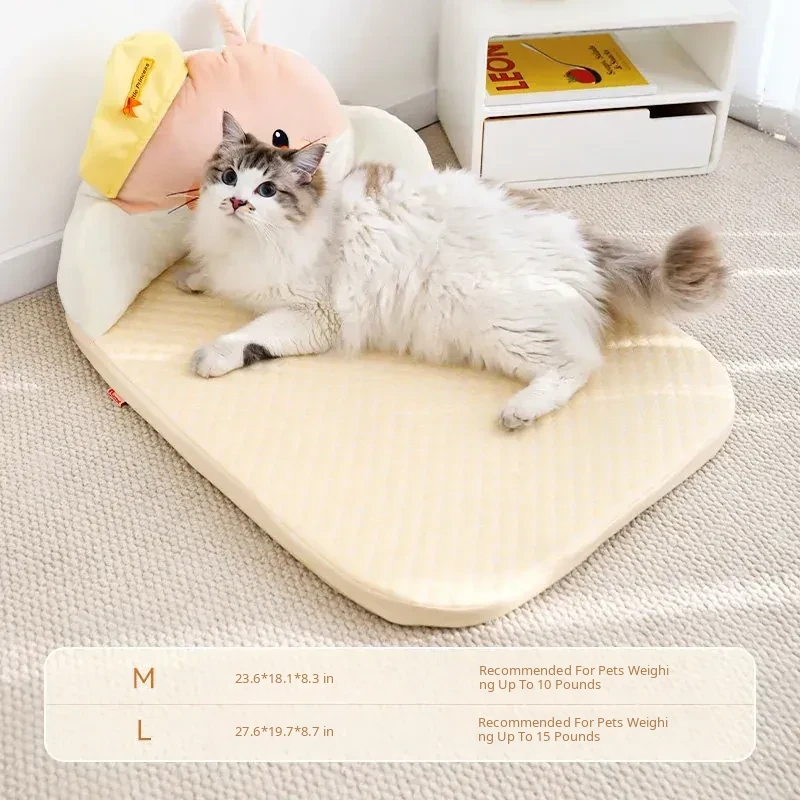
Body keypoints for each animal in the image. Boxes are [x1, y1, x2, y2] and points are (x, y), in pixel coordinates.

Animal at [181, 111, 725, 430]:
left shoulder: (314, 314)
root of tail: (580, 235)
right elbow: (212, 279)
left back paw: (520, 412)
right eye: (228, 177)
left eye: (267, 191)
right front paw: (193, 279)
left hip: (504, 325)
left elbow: (252, 337)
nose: (236, 201)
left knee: (580, 364)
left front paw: (211, 356)